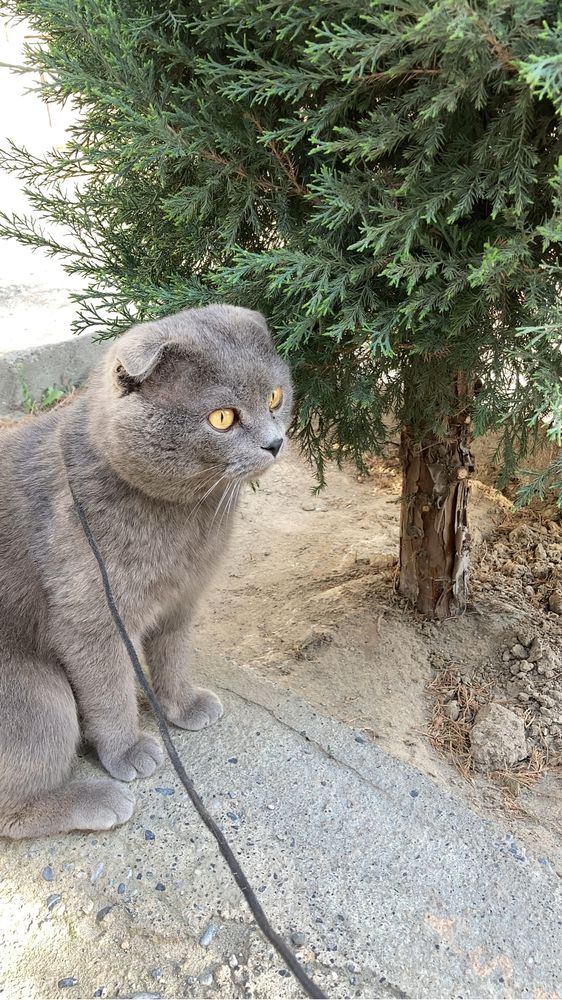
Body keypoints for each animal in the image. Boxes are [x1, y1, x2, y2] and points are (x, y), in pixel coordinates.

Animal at [0, 302, 290, 836]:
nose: (275, 442)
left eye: (275, 397)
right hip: (37, 697)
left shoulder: (182, 598)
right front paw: (128, 749)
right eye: (222, 418)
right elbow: (108, 688)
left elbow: (173, 653)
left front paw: (182, 705)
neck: (189, 520)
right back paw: (97, 799)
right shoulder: (92, 618)